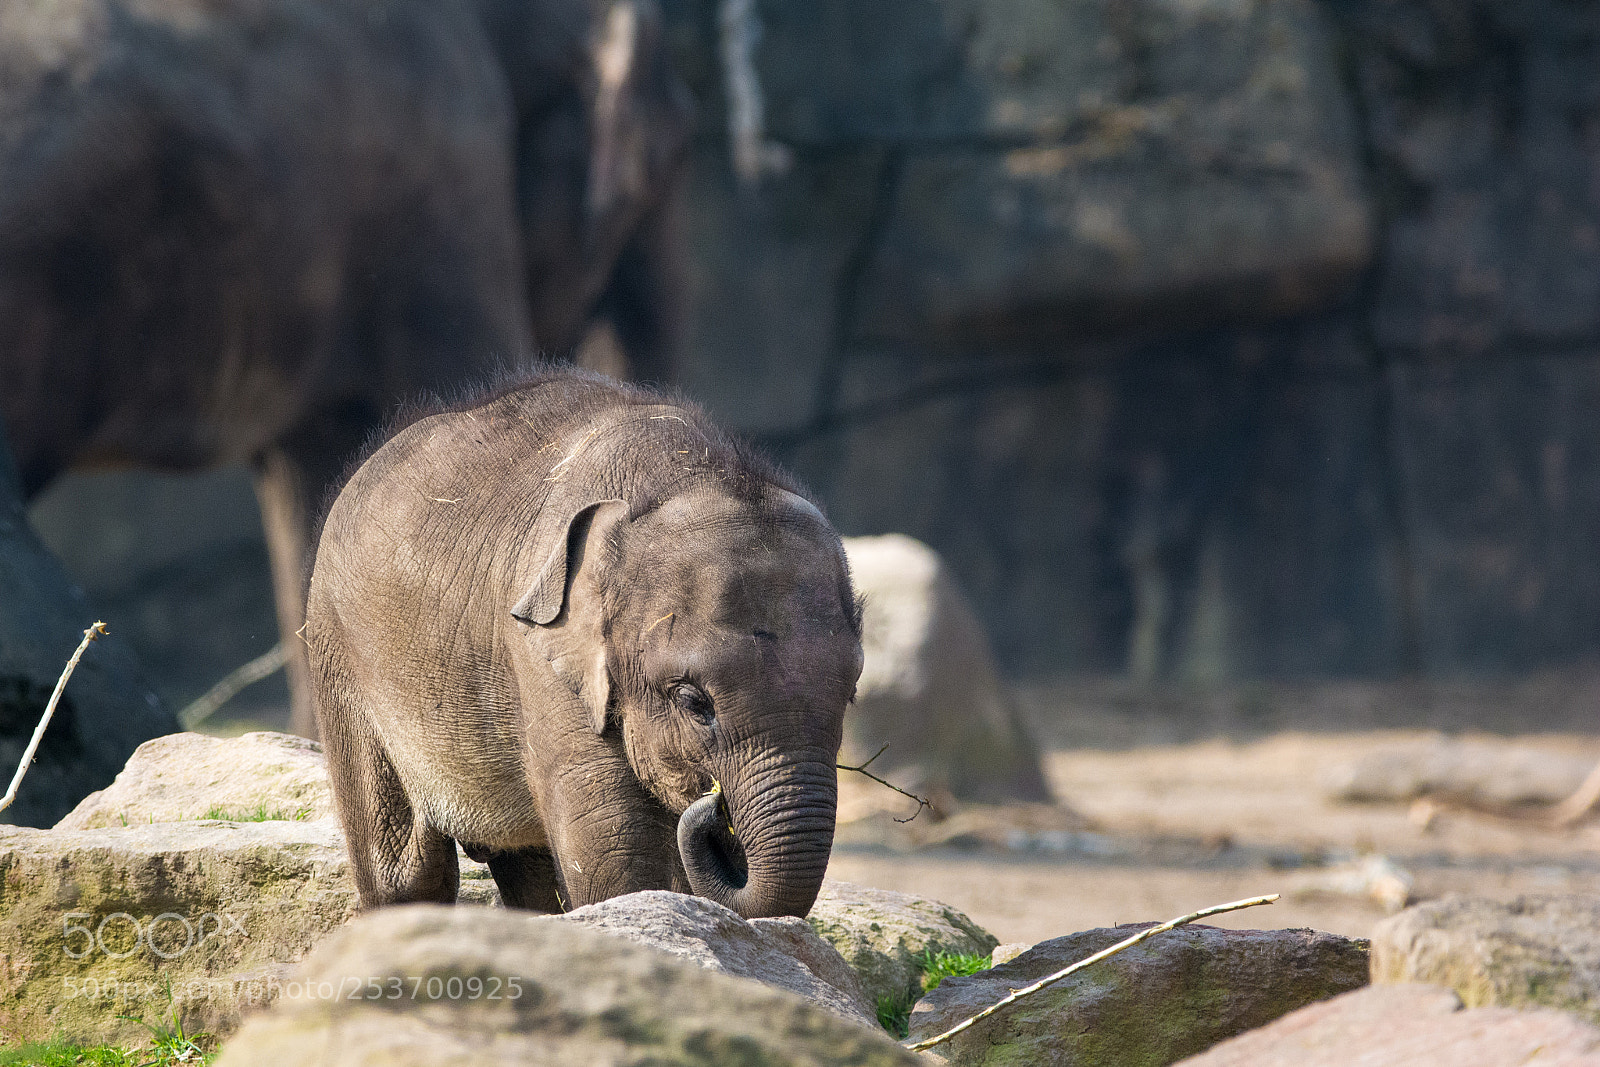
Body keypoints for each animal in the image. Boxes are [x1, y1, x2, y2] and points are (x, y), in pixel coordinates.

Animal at [305, 368, 864, 918]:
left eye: (850, 695)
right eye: (693, 702)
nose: (712, 802)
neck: (691, 476)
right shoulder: (538, 657)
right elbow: (613, 853)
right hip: (339, 658)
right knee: (406, 872)